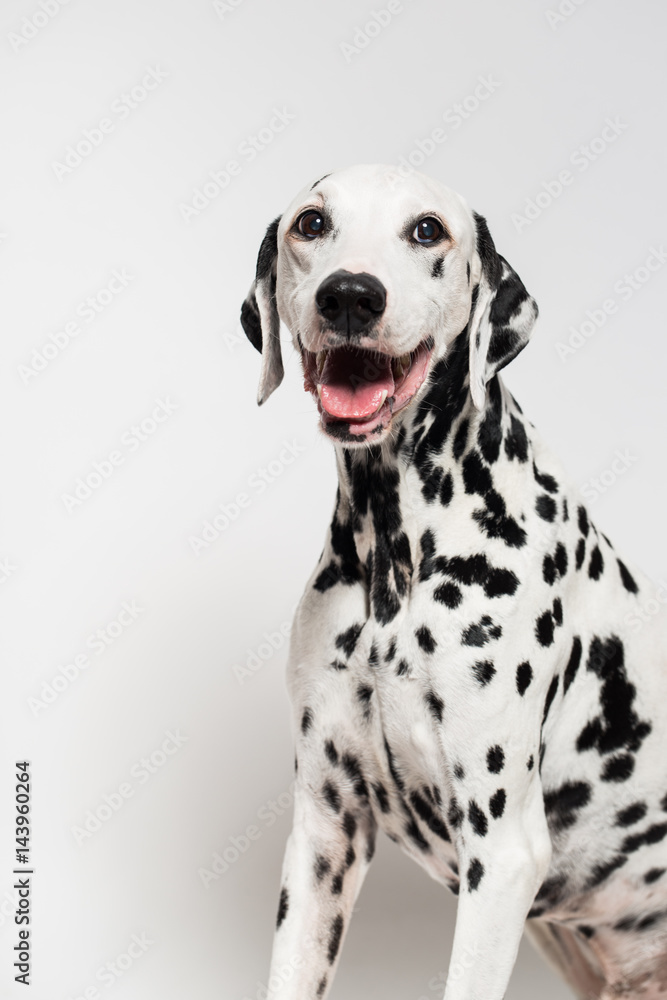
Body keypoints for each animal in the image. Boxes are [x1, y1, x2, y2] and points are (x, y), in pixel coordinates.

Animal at [240, 166, 667, 1000]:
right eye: (312, 223)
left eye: (426, 231)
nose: (349, 296)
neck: (394, 557)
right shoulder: (322, 838)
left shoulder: (502, 856)